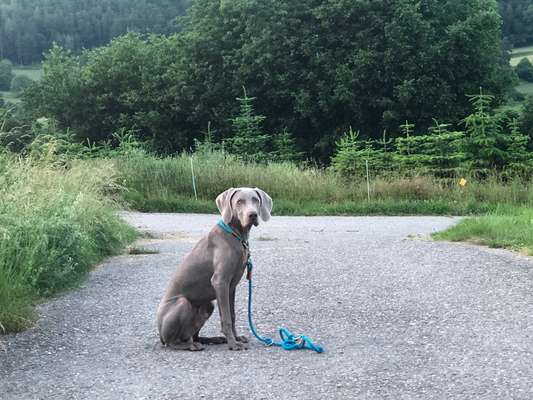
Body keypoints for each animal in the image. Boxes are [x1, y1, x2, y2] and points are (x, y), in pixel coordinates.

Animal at [154, 187, 270, 350]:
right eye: (239, 201)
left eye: (256, 200)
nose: (252, 214)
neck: (236, 234)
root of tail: (160, 335)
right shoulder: (220, 282)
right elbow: (226, 318)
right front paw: (233, 344)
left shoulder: (230, 286)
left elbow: (231, 314)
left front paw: (236, 338)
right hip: (182, 304)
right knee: (172, 342)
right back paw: (190, 346)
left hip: (208, 305)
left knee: (194, 336)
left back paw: (213, 339)